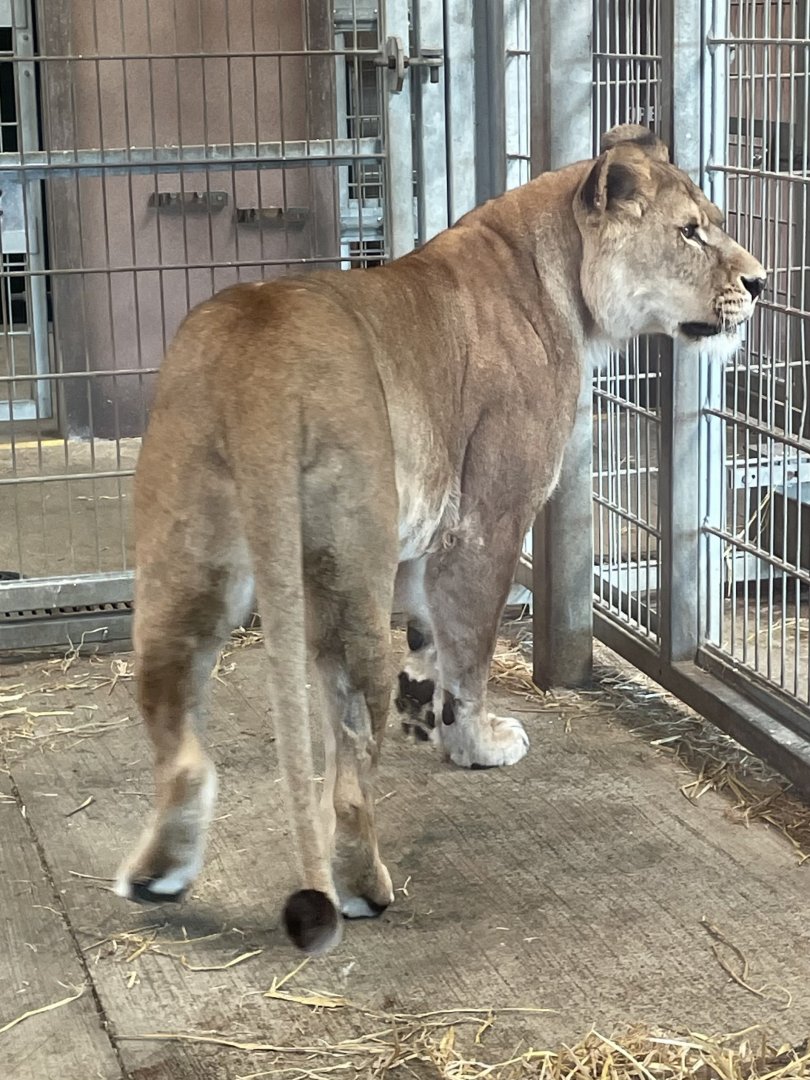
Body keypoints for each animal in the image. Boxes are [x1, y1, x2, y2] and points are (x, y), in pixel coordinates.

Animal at [115, 125, 765, 955]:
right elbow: (473, 651)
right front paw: (474, 743)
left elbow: (431, 635)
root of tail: (258, 369)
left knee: (178, 735)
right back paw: (363, 885)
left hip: (181, 571)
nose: (761, 283)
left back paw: (158, 874)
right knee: (348, 770)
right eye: (689, 232)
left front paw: (425, 713)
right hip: (347, 576)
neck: (555, 274)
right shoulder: (489, 520)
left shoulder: (427, 540)